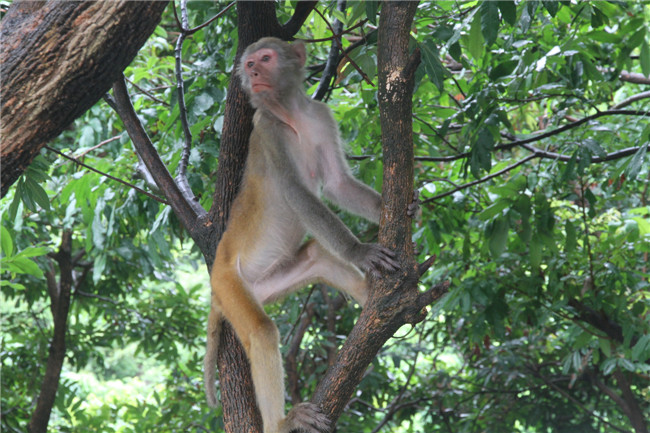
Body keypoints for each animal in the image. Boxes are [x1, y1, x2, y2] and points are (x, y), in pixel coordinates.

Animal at [202, 37, 398, 432]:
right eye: (249, 64)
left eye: (264, 59)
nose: (254, 75)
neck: (291, 114)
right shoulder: (266, 129)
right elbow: (299, 195)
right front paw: (359, 251)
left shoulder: (321, 116)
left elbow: (337, 184)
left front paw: (399, 206)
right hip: (229, 284)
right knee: (262, 332)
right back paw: (280, 422)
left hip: (268, 285)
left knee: (317, 256)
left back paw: (377, 300)